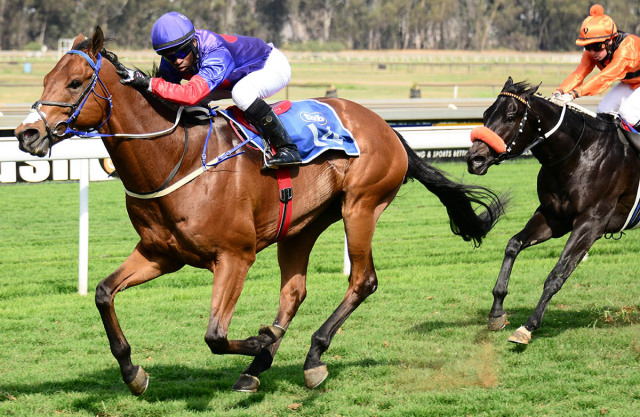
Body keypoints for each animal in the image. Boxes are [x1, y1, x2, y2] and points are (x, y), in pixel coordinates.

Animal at [13, 28, 504, 394]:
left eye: (76, 83)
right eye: (45, 79)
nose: (26, 134)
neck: (177, 157)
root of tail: (385, 126)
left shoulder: (235, 256)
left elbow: (214, 335)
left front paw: (260, 340)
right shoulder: (160, 253)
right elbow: (102, 293)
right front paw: (134, 373)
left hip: (361, 206)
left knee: (362, 280)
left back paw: (311, 356)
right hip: (302, 225)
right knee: (294, 292)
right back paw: (263, 367)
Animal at [464, 77, 640, 344]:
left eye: (510, 117)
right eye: (485, 114)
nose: (475, 159)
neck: (578, 154)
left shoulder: (591, 223)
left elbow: (557, 274)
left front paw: (528, 327)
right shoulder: (553, 217)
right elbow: (513, 245)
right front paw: (496, 313)